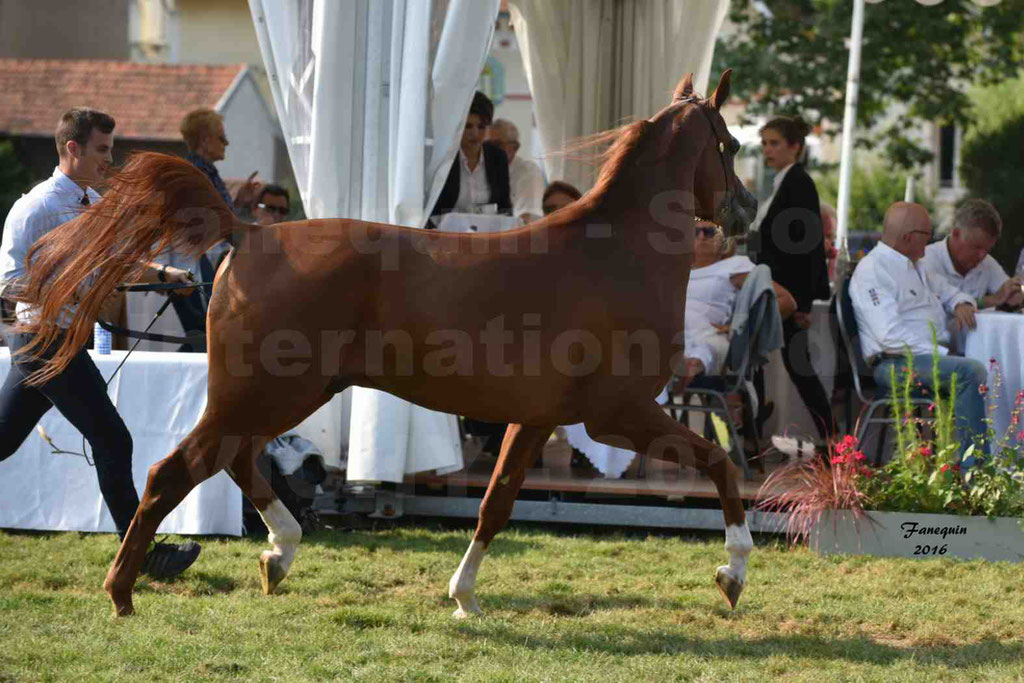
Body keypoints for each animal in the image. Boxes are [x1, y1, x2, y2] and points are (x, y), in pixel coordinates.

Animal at [14, 68, 753, 614]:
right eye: (731, 144)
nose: (743, 211)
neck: (614, 256)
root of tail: (247, 232)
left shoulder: (535, 418)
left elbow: (496, 503)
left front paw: (464, 598)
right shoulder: (617, 413)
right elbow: (722, 463)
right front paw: (732, 573)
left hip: (276, 394)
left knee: (232, 459)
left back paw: (277, 553)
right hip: (269, 392)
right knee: (177, 469)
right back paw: (124, 591)